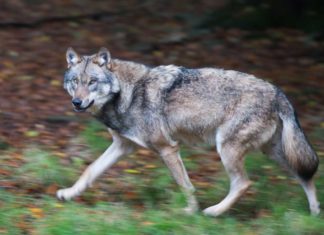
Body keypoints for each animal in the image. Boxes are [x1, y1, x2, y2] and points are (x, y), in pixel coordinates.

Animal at [57, 47, 320, 217]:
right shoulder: (122, 146)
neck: (126, 94)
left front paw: (190, 211)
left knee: (244, 183)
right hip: (274, 152)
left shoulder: (167, 148)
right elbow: (90, 171)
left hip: (227, 148)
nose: (76, 103)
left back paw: (214, 211)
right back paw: (315, 213)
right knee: (305, 175)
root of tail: (279, 93)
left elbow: (185, 185)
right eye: (75, 82)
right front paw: (68, 194)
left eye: (92, 82)